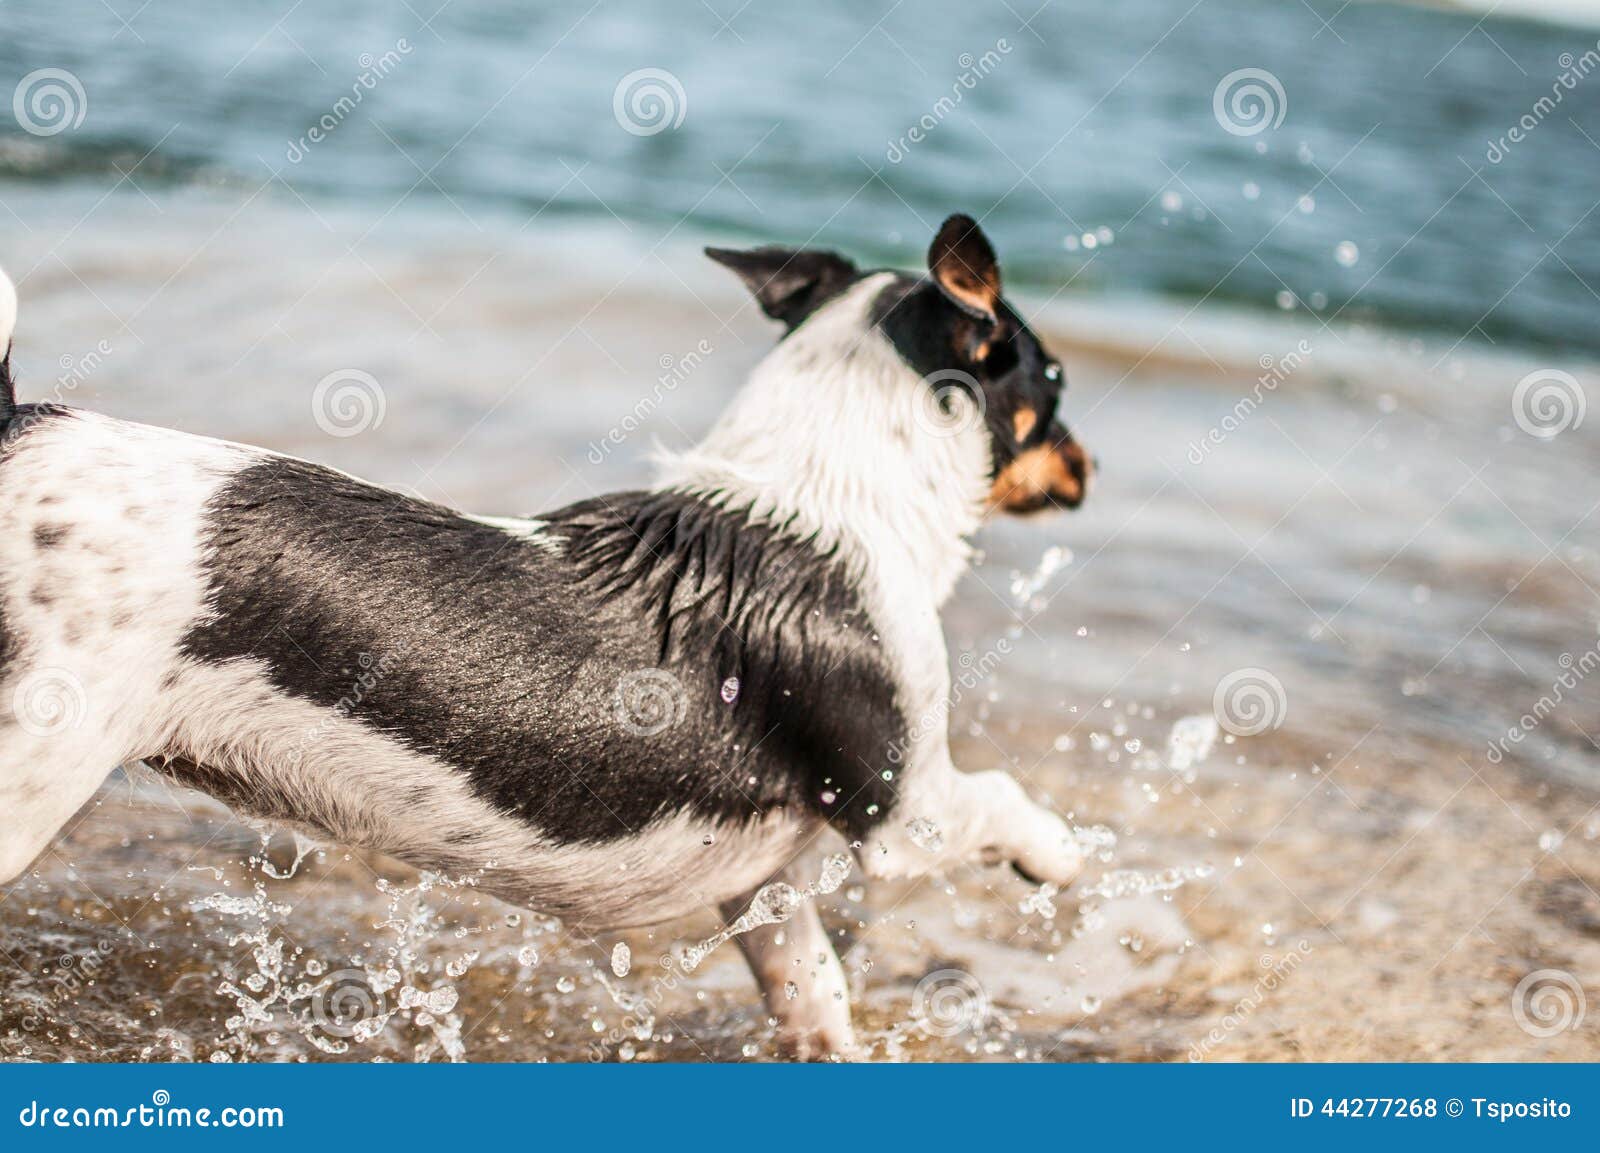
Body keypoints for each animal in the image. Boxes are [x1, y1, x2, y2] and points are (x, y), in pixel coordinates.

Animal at [0, 214, 1088, 1055]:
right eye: (1056, 377)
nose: (1091, 466)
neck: (819, 501)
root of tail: (21, 427)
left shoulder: (764, 881)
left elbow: (811, 988)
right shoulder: (907, 816)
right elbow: (1005, 800)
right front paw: (1062, 856)